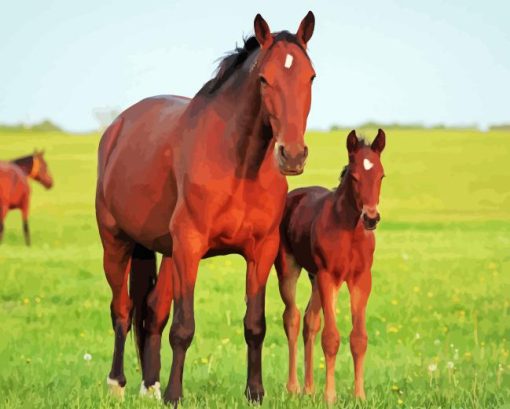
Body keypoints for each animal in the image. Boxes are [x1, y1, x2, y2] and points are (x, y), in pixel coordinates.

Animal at [95, 11, 314, 404]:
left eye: (310, 77)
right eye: (264, 79)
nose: (292, 155)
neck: (239, 165)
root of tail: (117, 128)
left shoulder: (261, 250)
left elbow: (254, 325)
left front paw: (255, 393)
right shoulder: (191, 246)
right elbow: (183, 327)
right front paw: (174, 395)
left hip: (166, 252)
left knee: (152, 310)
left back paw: (149, 385)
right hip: (116, 243)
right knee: (121, 310)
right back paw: (117, 384)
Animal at [276, 130, 384, 402]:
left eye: (381, 175)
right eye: (354, 176)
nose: (371, 218)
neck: (350, 231)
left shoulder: (361, 280)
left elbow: (359, 338)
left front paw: (359, 396)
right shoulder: (329, 277)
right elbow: (331, 338)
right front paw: (330, 396)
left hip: (314, 277)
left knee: (309, 321)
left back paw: (309, 388)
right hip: (289, 269)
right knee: (292, 317)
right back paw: (294, 388)